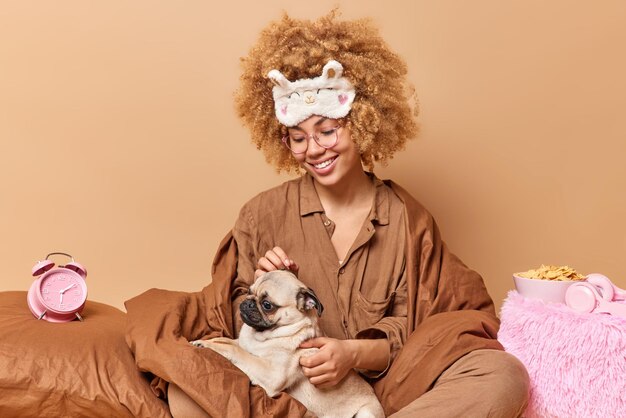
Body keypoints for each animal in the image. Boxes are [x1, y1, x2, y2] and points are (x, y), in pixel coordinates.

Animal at [190, 270, 386, 416]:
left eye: (267, 305)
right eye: (248, 292)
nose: (248, 303)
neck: (262, 336)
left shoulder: (272, 374)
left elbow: (234, 351)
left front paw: (208, 346)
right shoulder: (242, 344)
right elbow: (226, 341)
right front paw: (203, 341)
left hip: (366, 413)